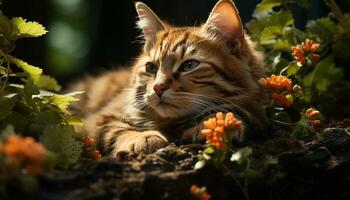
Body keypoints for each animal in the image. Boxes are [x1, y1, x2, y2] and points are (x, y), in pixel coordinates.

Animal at [71, 0, 268, 158]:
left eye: (189, 65)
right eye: (151, 68)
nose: (158, 88)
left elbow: (234, 110)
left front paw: (216, 124)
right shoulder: (100, 117)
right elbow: (116, 128)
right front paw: (142, 138)